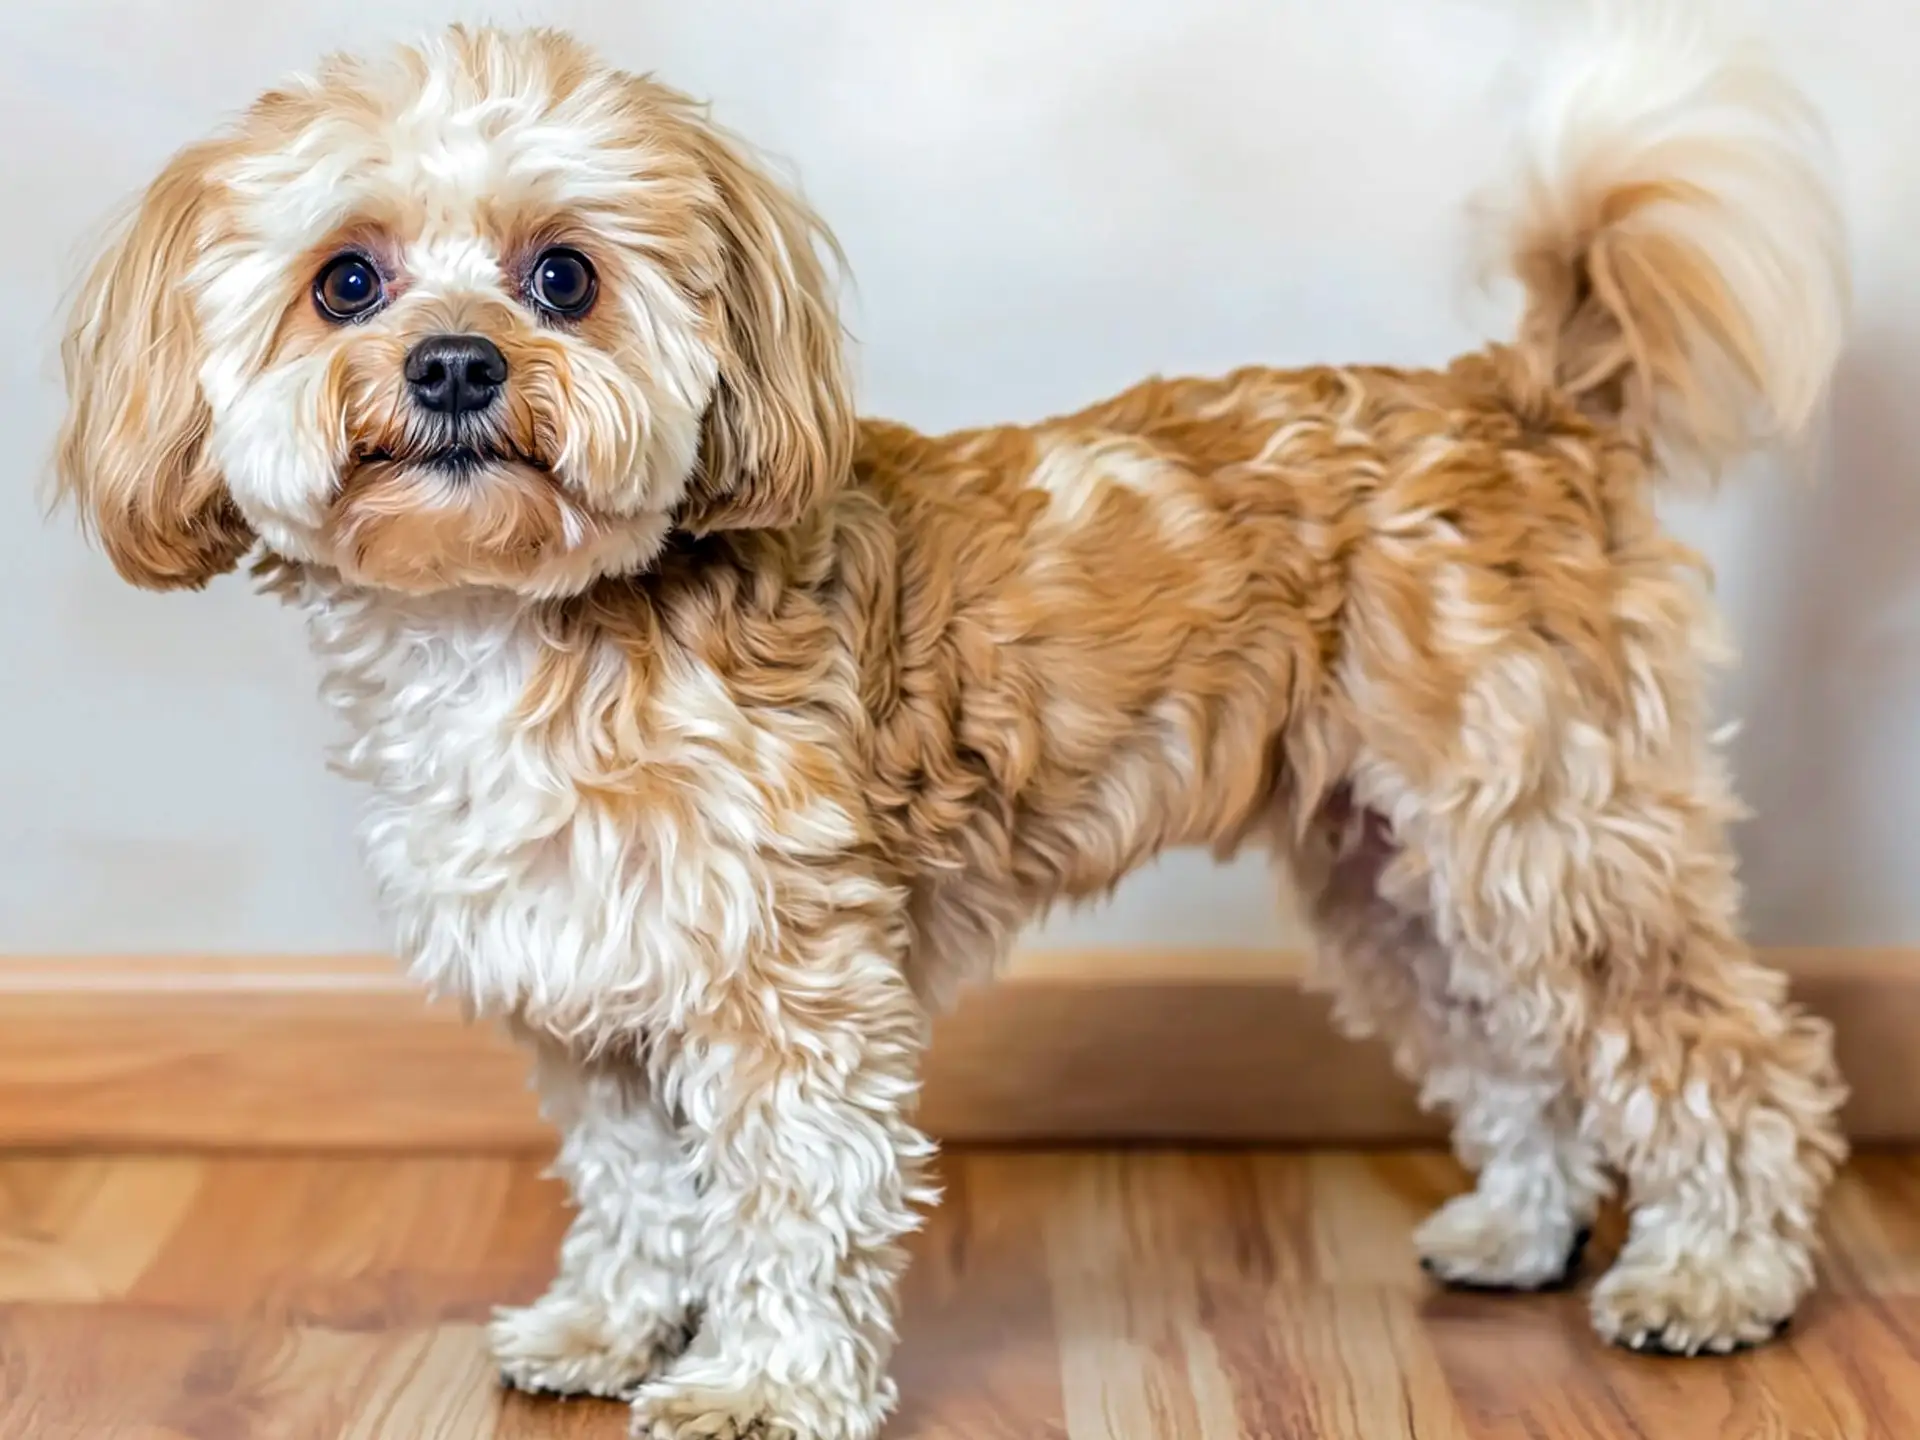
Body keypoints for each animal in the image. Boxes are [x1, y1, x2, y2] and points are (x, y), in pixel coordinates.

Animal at [60, 5, 1850, 1436]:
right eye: (343, 280)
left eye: (562, 276)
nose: (448, 365)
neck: (522, 626)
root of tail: (1521, 398)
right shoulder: (597, 996)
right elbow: (640, 1192)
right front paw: (609, 1330)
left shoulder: (786, 988)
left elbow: (791, 1204)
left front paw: (759, 1387)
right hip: (1398, 873)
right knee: (1519, 1053)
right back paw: (1521, 1235)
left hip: (1547, 832)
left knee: (1725, 1054)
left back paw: (1717, 1276)